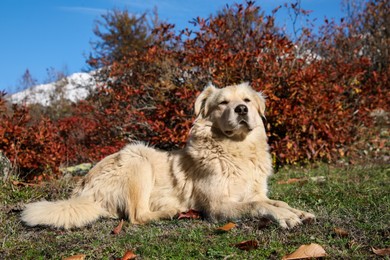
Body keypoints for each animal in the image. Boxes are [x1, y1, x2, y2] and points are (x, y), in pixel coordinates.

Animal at [20, 83, 314, 230]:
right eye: (223, 103)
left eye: (247, 100)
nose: (241, 109)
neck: (236, 150)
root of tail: (83, 188)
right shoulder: (218, 207)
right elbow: (257, 206)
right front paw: (285, 217)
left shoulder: (255, 192)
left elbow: (273, 201)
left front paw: (296, 211)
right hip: (137, 157)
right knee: (136, 216)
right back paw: (172, 211)